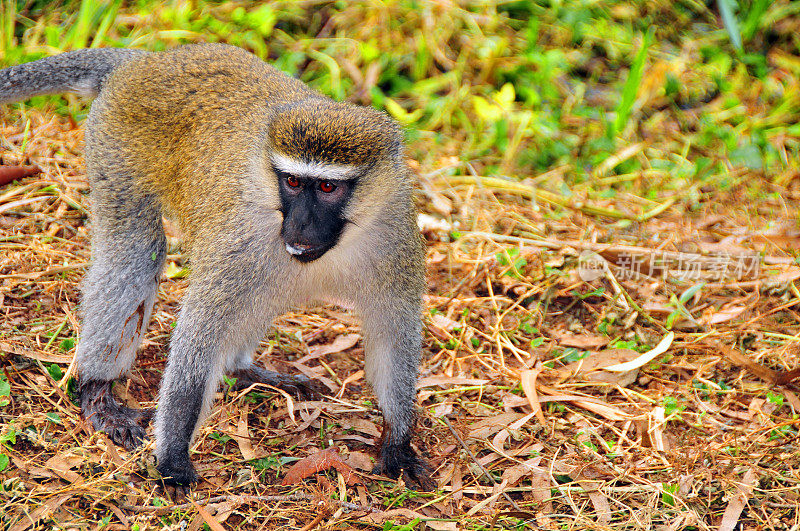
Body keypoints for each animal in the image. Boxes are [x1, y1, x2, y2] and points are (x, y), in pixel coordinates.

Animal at [0, 44, 434, 490]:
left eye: (328, 187)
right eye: (293, 182)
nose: (299, 225)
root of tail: (147, 60)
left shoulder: (395, 238)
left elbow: (392, 338)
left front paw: (398, 442)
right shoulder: (238, 242)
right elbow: (198, 339)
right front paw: (173, 458)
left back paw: (242, 370)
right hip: (113, 148)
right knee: (137, 248)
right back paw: (97, 391)